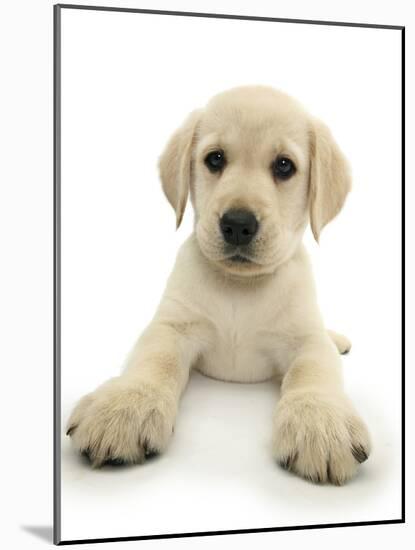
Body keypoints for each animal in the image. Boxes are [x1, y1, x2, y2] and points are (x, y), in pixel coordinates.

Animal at [66, 86, 372, 488]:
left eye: (284, 166)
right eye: (215, 159)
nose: (238, 224)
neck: (240, 287)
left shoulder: (305, 338)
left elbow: (313, 369)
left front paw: (320, 419)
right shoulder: (173, 326)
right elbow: (155, 359)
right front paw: (127, 403)